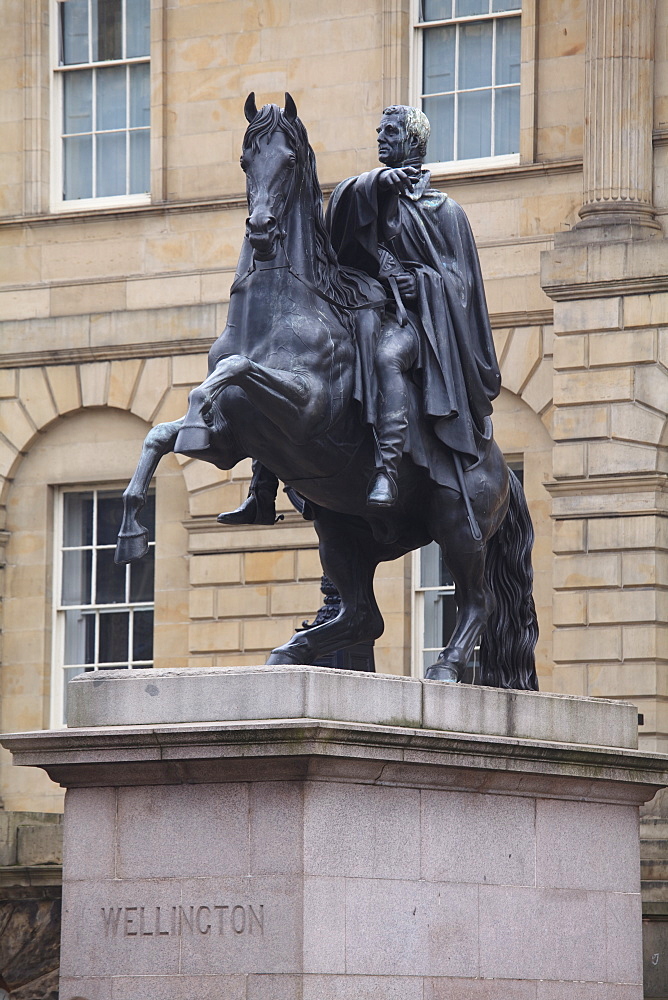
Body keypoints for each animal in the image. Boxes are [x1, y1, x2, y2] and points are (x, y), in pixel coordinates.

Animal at [116, 92, 536, 688]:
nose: (261, 228)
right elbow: (159, 432)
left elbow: (231, 372)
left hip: (457, 521)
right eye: (245, 160)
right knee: (364, 615)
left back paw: (445, 666)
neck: (276, 313)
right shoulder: (233, 443)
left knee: (476, 601)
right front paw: (132, 528)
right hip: (340, 529)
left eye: (290, 159)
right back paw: (293, 649)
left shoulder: (305, 411)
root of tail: (503, 469)